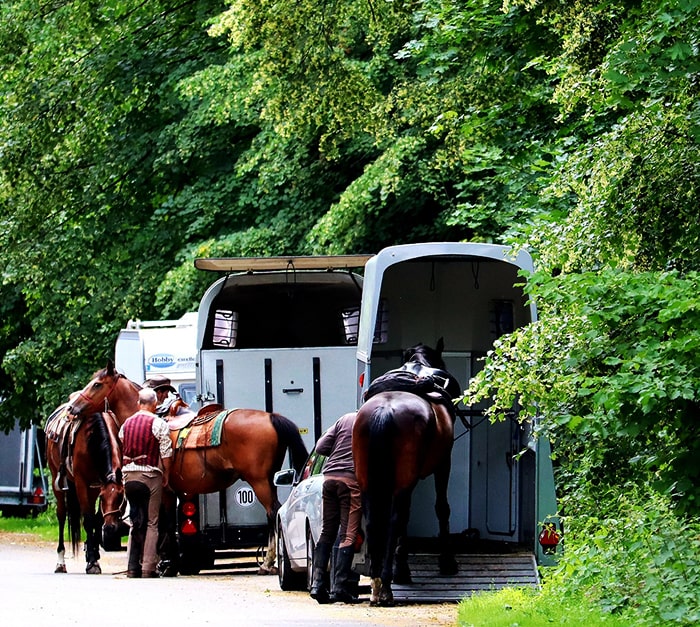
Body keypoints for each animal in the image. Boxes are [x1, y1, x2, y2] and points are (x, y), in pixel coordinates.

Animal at [45, 408, 125, 576]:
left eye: (121, 496)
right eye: (103, 497)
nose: (110, 528)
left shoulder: (98, 485)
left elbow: (97, 519)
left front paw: (93, 553)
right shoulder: (82, 483)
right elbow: (88, 520)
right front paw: (92, 563)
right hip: (57, 480)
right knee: (61, 515)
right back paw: (60, 563)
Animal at [68, 360, 308, 576]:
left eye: (97, 384)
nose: (72, 407)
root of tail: (271, 417)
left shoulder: (164, 490)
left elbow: (164, 524)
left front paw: (165, 564)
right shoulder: (174, 491)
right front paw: (167, 562)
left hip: (259, 481)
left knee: (273, 512)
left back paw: (267, 564)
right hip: (270, 480)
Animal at [352, 340, 462, 604]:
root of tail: (384, 411)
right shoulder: (443, 463)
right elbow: (441, 508)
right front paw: (446, 562)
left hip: (368, 480)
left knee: (376, 520)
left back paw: (378, 580)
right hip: (404, 480)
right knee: (396, 518)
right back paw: (387, 583)